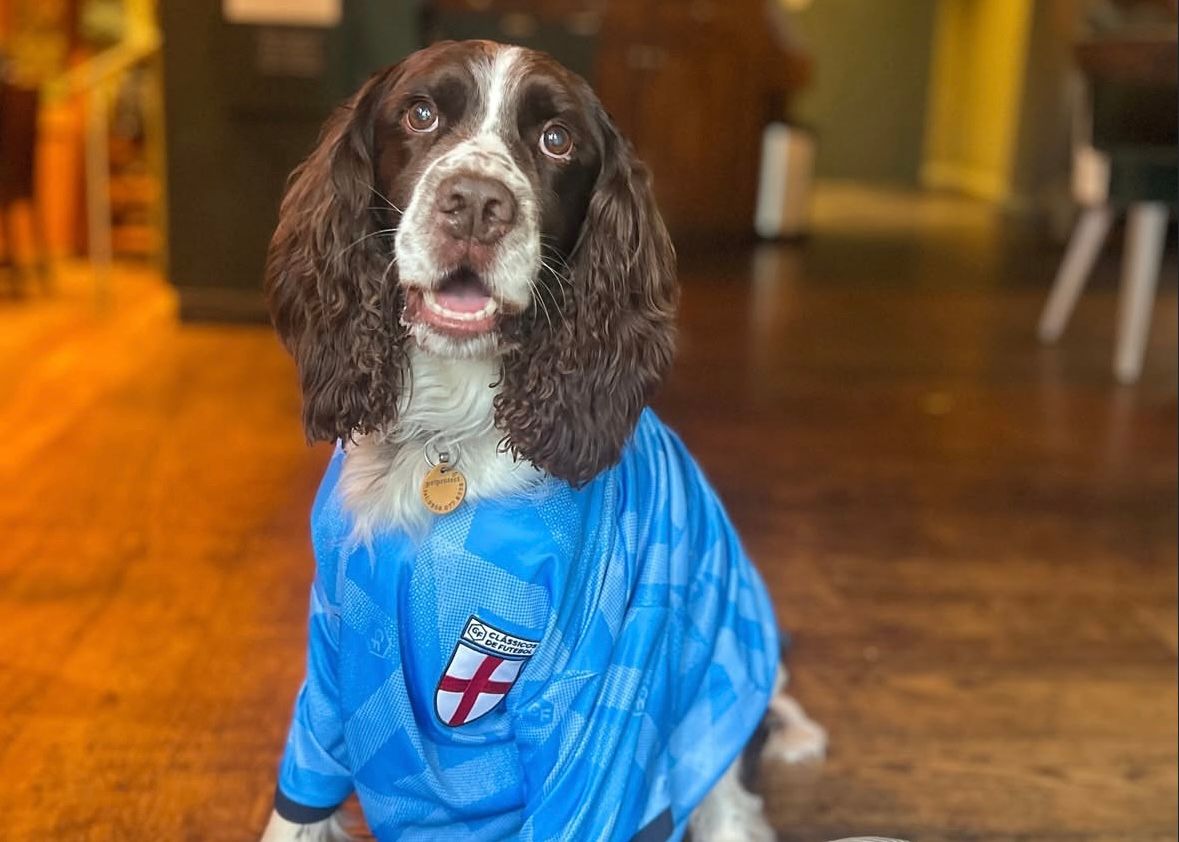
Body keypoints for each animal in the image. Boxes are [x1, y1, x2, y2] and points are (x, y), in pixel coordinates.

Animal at [260, 40, 825, 842]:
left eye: (557, 140)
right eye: (420, 113)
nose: (475, 203)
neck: (448, 435)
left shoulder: (595, 703)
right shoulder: (334, 658)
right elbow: (299, 802)